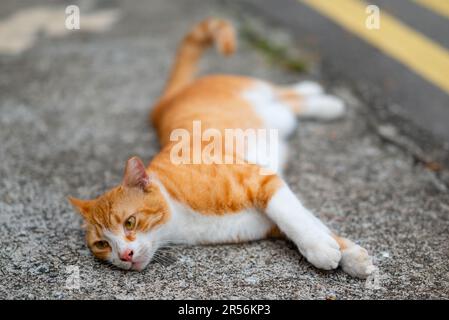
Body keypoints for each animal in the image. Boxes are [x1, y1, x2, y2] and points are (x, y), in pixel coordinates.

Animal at [67, 18, 374, 278]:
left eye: (129, 223)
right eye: (102, 244)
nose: (124, 255)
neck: (180, 220)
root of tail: (164, 101)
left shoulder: (263, 180)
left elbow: (296, 219)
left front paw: (324, 251)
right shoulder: (269, 221)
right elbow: (314, 224)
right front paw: (347, 255)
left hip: (258, 96)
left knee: (285, 94)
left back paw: (325, 100)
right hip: (278, 117)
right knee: (289, 104)